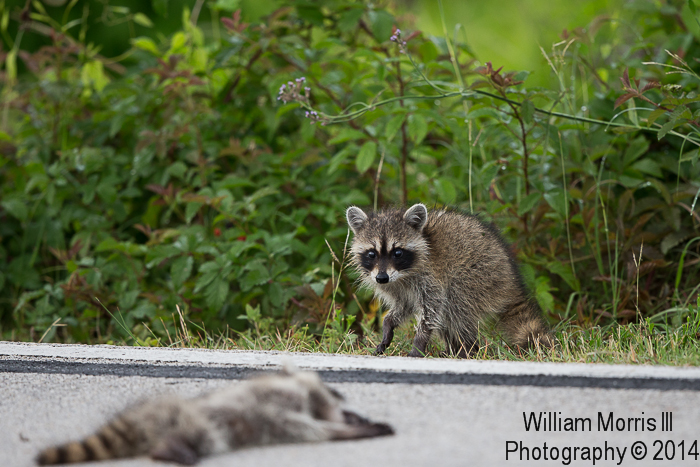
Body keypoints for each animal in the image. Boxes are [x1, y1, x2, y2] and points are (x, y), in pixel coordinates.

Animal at [37, 368, 394, 466]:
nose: (352, 417)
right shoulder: (290, 402)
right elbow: (317, 427)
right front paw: (356, 427)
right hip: (196, 418)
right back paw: (171, 450)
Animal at [344, 203, 552, 360]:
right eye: (372, 254)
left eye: (397, 253)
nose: (381, 278)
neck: (402, 275)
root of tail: (510, 276)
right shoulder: (397, 287)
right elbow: (403, 307)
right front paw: (388, 325)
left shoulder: (430, 277)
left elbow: (432, 311)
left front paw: (419, 343)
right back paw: (454, 349)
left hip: (477, 276)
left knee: (456, 308)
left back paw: (467, 348)